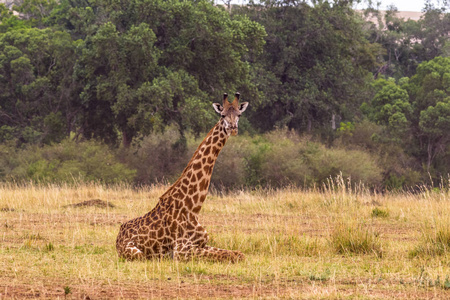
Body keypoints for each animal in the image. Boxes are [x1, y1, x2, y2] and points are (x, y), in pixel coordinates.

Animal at [115, 92, 250, 262]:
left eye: (239, 114)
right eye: (223, 114)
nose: (232, 128)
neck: (193, 208)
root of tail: (117, 237)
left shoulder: (202, 244)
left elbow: (238, 254)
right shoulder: (181, 250)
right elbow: (233, 255)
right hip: (136, 253)